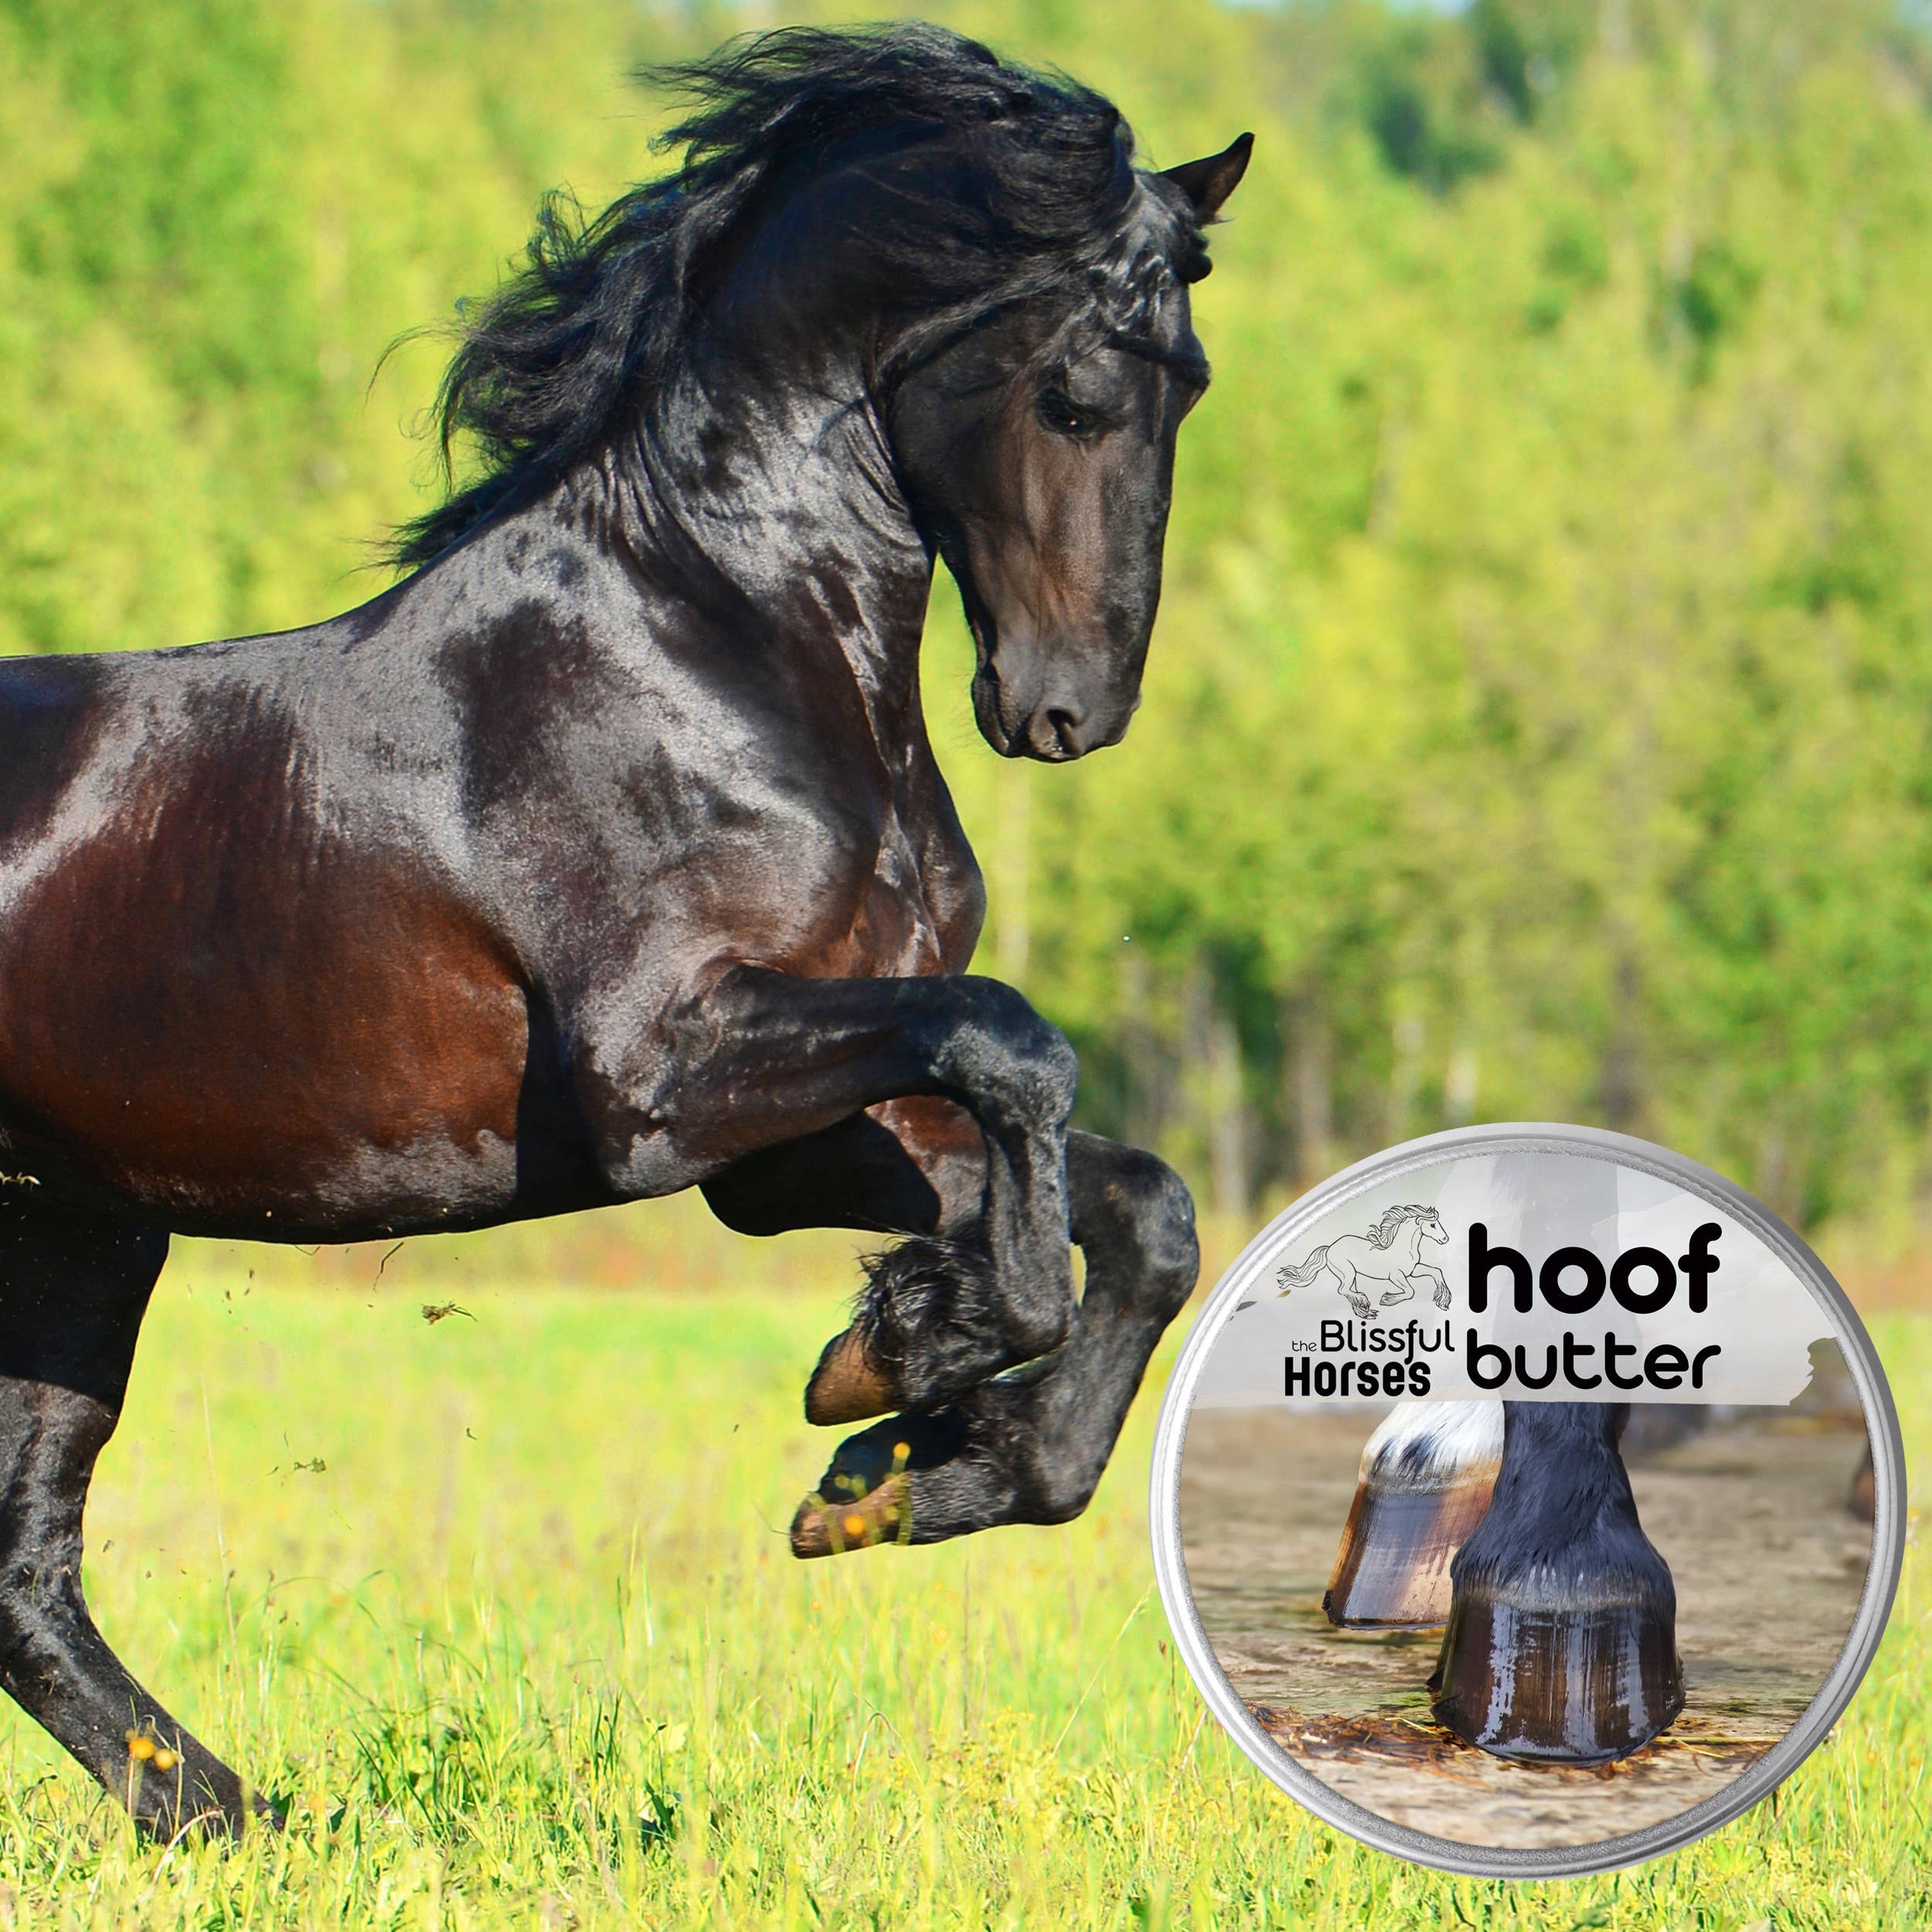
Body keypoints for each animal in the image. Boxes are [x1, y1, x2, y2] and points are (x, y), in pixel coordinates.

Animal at [0, 24, 1250, 1837]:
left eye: (1191, 380)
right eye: (1076, 389)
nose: (1067, 708)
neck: (714, 648)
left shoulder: (785, 1139)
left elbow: (1137, 1205)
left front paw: (905, 1466)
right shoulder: (666, 1079)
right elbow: (1014, 1050)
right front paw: (904, 1355)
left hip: (76, 1231)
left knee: (27, 1573)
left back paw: (237, 1821)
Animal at [1274, 1203, 1450, 1320]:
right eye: (1433, 1225)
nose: (1445, 1239)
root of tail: (1329, 1248)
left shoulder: (1412, 1271)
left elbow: (1437, 1272)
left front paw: (1443, 1303)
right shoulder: (1396, 1276)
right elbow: (1410, 1292)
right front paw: (1386, 1299)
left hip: (1351, 1276)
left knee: (1348, 1291)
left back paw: (1366, 1312)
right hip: (1347, 1272)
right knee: (1343, 1290)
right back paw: (1364, 1303)